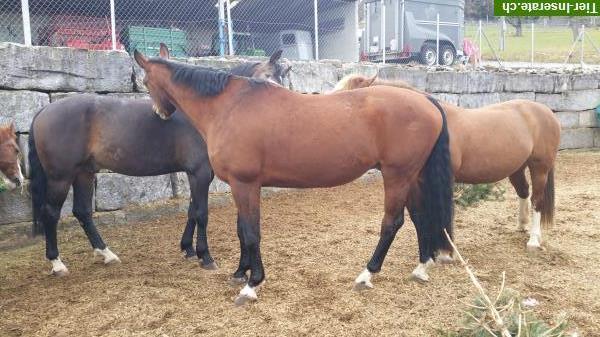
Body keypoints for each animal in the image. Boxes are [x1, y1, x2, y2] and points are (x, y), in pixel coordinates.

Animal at [29, 50, 290, 276]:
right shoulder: (199, 172)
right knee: (51, 213)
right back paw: (57, 263)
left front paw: (188, 249)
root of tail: (44, 110)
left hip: (84, 173)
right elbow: (201, 213)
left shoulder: (198, 174)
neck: (206, 113)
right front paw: (205, 256)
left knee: (82, 212)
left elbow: (191, 211)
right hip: (60, 177)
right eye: (268, 77)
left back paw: (106, 253)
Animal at [135, 44, 454, 304]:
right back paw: (421, 267)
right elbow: (242, 230)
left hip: (397, 175)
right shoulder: (242, 185)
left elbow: (251, 232)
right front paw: (240, 272)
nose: (159, 112)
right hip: (411, 176)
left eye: (144, 81)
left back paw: (367, 274)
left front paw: (252, 284)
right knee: (420, 216)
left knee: (392, 223)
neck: (229, 106)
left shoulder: (245, 183)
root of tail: (426, 99)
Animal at [336, 73, 560, 280]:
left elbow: (444, 212)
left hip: (540, 167)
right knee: (524, 192)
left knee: (537, 200)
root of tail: (546, 111)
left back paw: (533, 240)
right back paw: (522, 225)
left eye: (351, 103)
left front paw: (444, 253)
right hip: (517, 168)